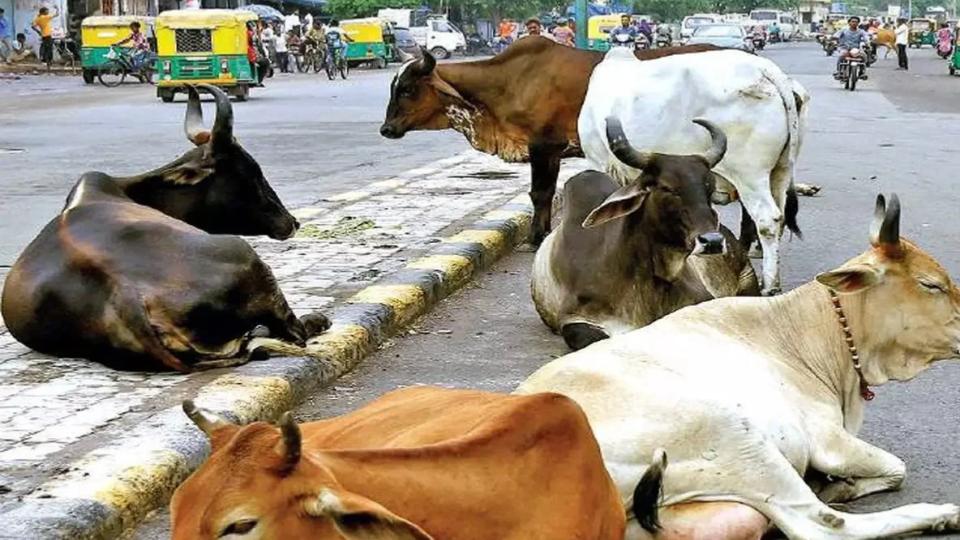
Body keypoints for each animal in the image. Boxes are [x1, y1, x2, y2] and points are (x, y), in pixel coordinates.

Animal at [0, 85, 329, 373]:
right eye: (251, 171)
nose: (292, 222)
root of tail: (128, 298)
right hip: (247, 256)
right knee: (293, 332)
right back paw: (316, 320)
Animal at [379, 37, 722, 247]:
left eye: (407, 88)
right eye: (394, 86)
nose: (386, 129)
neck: (507, 83)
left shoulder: (543, 146)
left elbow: (540, 193)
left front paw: (535, 237)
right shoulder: (552, 151)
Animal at [518, 194, 960, 539]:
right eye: (931, 284)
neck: (801, 331)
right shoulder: (827, 440)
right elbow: (896, 467)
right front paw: (844, 484)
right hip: (732, 434)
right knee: (820, 525)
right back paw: (941, 514)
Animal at [579, 47, 809, 296]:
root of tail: (766, 70)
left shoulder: (600, 162)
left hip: (749, 174)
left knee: (767, 219)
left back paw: (768, 285)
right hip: (781, 170)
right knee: (780, 216)